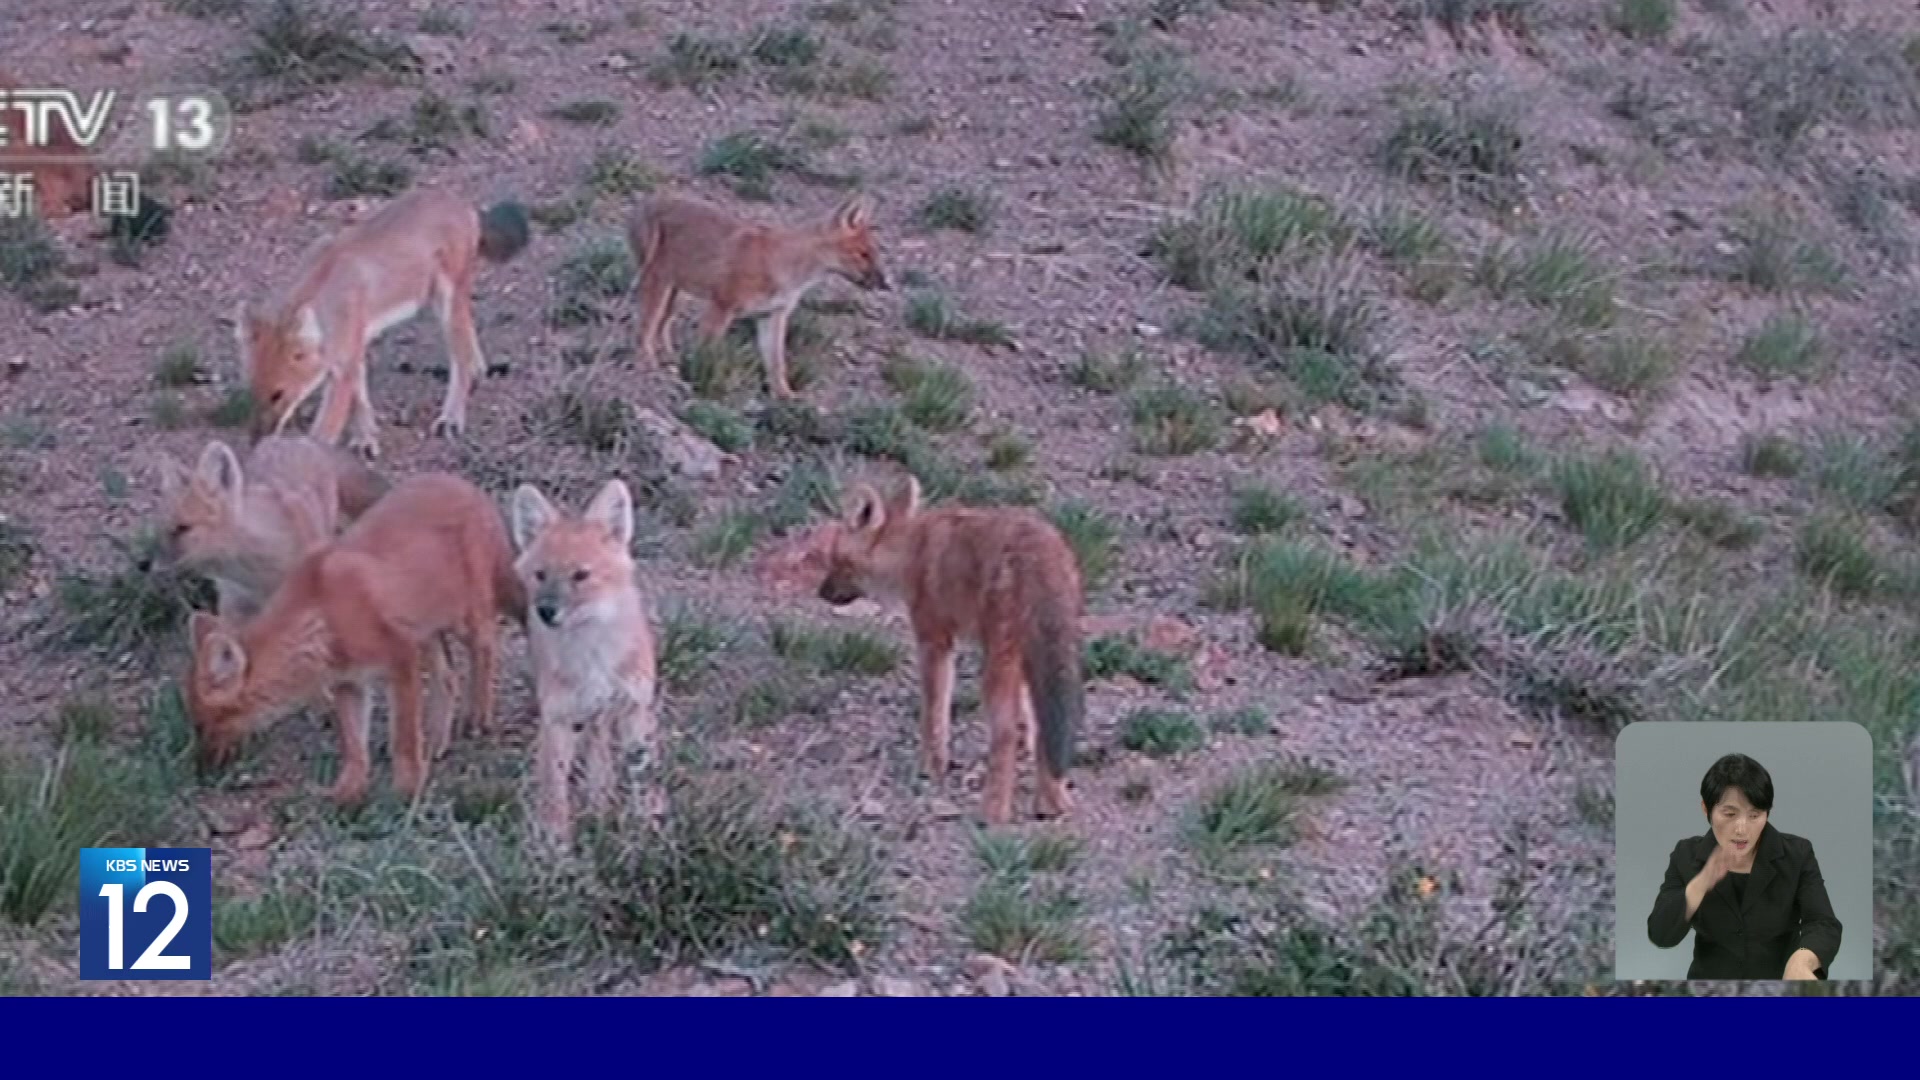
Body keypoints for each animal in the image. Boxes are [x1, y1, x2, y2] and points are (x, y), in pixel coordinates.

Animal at [184, 470, 529, 799]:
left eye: (204, 724)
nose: (200, 774)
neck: (324, 615)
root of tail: (469, 487)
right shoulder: (349, 682)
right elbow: (353, 746)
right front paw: (347, 793)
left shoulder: (401, 659)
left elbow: (403, 739)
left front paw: (407, 790)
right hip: (426, 630)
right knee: (447, 678)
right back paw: (435, 742)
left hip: (467, 622)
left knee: (486, 650)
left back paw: (478, 718)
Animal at [236, 187, 533, 455]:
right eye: (251, 392)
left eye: (278, 394)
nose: (256, 442)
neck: (325, 286)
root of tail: (459, 202)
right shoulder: (353, 351)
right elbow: (360, 399)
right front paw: (366, 439)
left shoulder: (342, 368)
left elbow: (324, 433)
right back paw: (478, 371)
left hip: (447, 301)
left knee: (460, 362)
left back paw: (451, 418)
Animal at [510, 476, 660, 841]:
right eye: (540, 574)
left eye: (580, 575)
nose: (545, 611)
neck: (593, 657)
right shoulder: (558, 719)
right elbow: (554, 792)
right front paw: (555, 845)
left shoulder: (634, 710)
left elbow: (639, 784)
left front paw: (642, 835)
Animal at [629, 190, 898, 399]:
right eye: (863, 254)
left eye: (875, 253)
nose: (885, 283)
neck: (788, 265)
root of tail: (651, 198)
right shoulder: (721, 306)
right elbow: (707, 352)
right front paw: (701, 378)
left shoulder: (773, 315)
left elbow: (776, 363)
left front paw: (785, 396)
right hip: (659, 282)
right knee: (646, 327)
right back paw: (648, 363)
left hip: (679, 292)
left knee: (663, 324)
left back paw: (668, 357)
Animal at [806, 472, 1082, 822]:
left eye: (836, 560)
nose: (821, 593)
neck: (910, 549)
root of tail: (1039, 551)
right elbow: (1028, 722)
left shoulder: (934, 641)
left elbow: (934, 714)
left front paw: (930, 766)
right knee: (1048, 727)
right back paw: (1052, 803)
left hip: (995, 662)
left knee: (1003, 733)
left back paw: (993, 812)